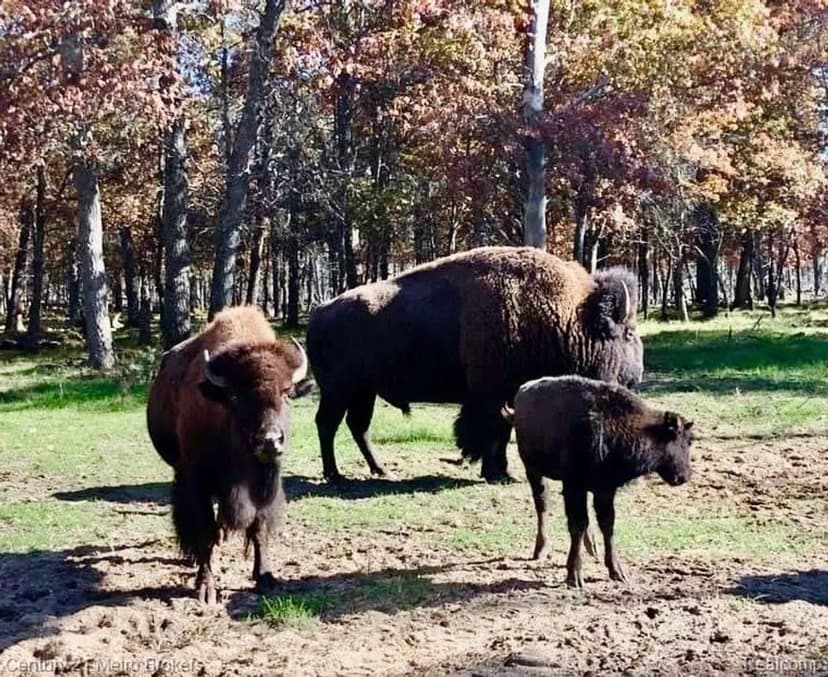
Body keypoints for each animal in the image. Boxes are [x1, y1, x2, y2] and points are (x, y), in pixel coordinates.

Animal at [146, 306, 312, 603]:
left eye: (286, 393)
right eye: (235, 397)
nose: (269, 441)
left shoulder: (265, 487)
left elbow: (259, 528)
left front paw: (265, 578)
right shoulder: (196, 481)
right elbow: (204, 532)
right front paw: (206, 588)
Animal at [307, 246, 643, 483]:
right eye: (628, 333)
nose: (637, 375)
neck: (568, 316)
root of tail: (320, 312)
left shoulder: (506, 397)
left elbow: (502, 432)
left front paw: (502, 472)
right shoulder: (490, 395)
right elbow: (491, 432)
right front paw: (496, 473)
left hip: (364, 392)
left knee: (357, 426)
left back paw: (380, 470)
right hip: (339, 391)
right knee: (327, 423)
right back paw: (334, 475)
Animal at [502, 375, 693, 587]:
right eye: (686, 441)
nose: (685, 476)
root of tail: (523, 391)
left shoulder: (605, 489)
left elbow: (607, 524)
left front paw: (617, 571)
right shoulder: (574, 486)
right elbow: (577, 524)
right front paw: (575, 575)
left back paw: (591, 547)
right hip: (534, 471)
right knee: (542, 504)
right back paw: (541, 549)